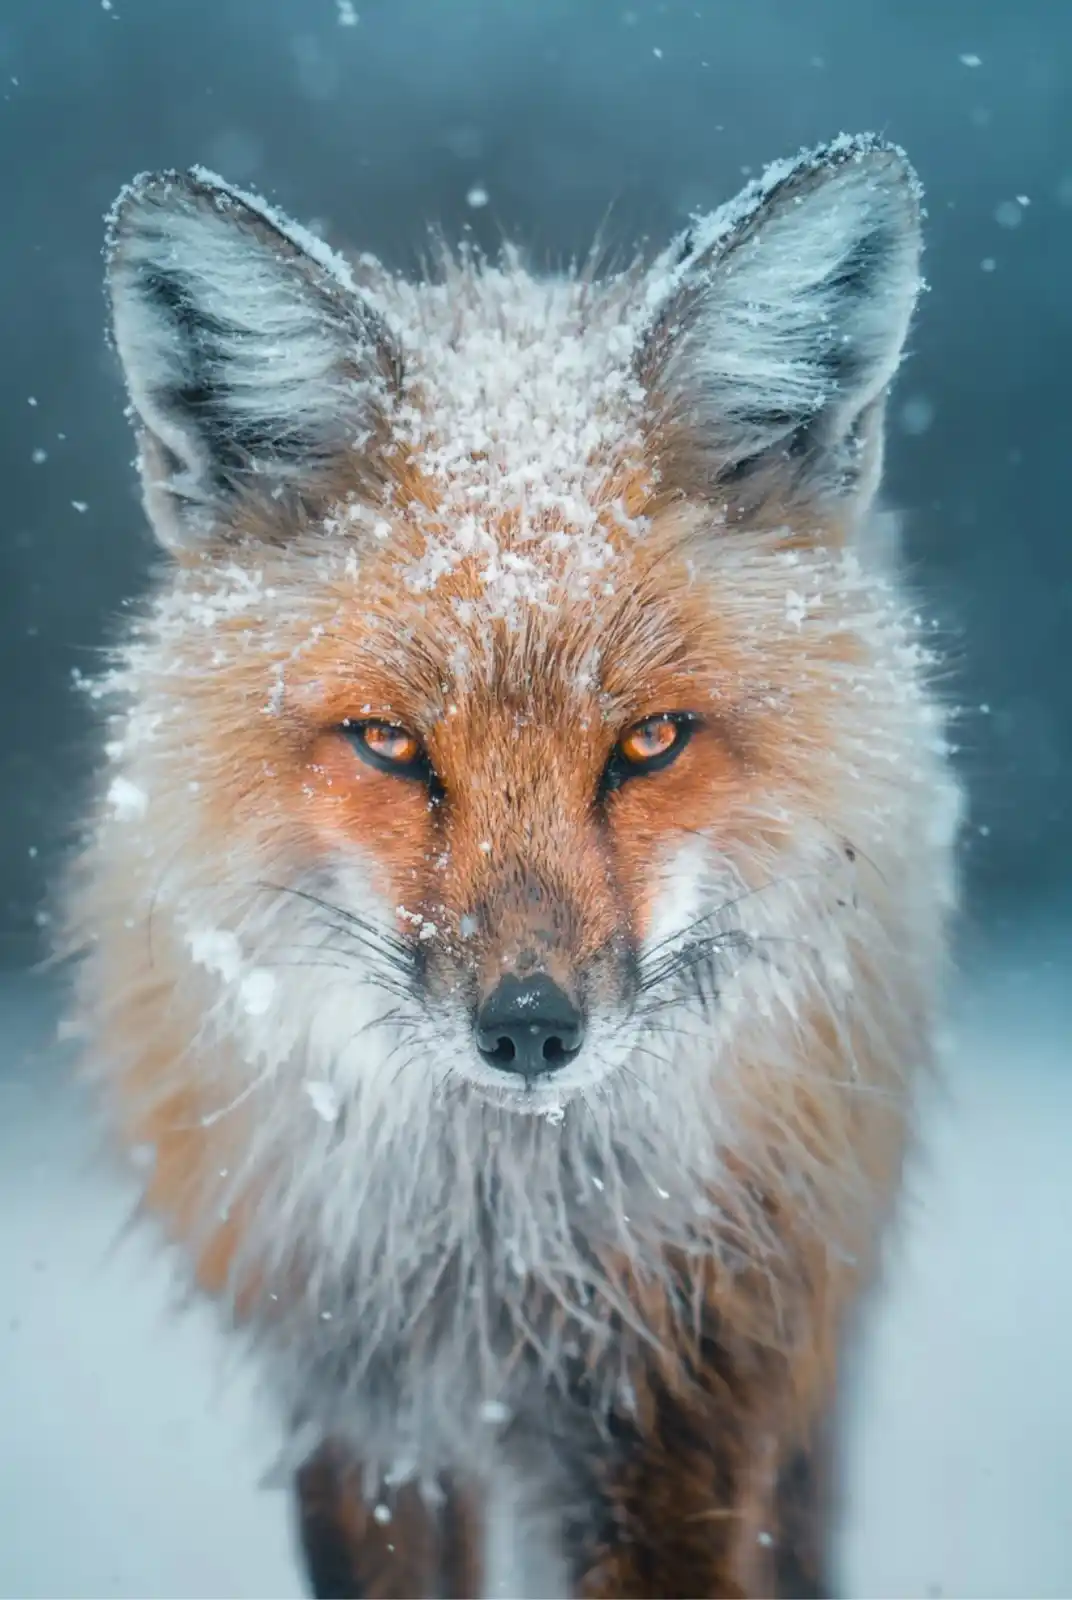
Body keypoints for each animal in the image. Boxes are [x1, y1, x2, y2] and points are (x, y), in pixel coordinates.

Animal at [60, 133, 962, 1599]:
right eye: (389, 744)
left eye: (649, 741)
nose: (531, 1028)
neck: (498, 1257)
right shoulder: (362, 1416)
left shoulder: (686, 1398)